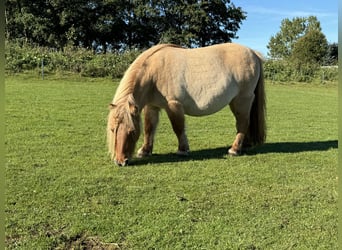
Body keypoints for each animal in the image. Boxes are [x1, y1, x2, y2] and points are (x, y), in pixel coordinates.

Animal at [107, 43, 268, 166]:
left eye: (132, 131)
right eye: (113, 129)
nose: (120, 161)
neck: (153, 73)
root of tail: (253, 53)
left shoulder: (173, 105)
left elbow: (178, 128)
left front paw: (182, 150)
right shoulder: (152, 106)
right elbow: (149, 128)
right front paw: (145, 151)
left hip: (242, 100)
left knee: (243, 123)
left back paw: (234, 149)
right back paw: (244, 145)